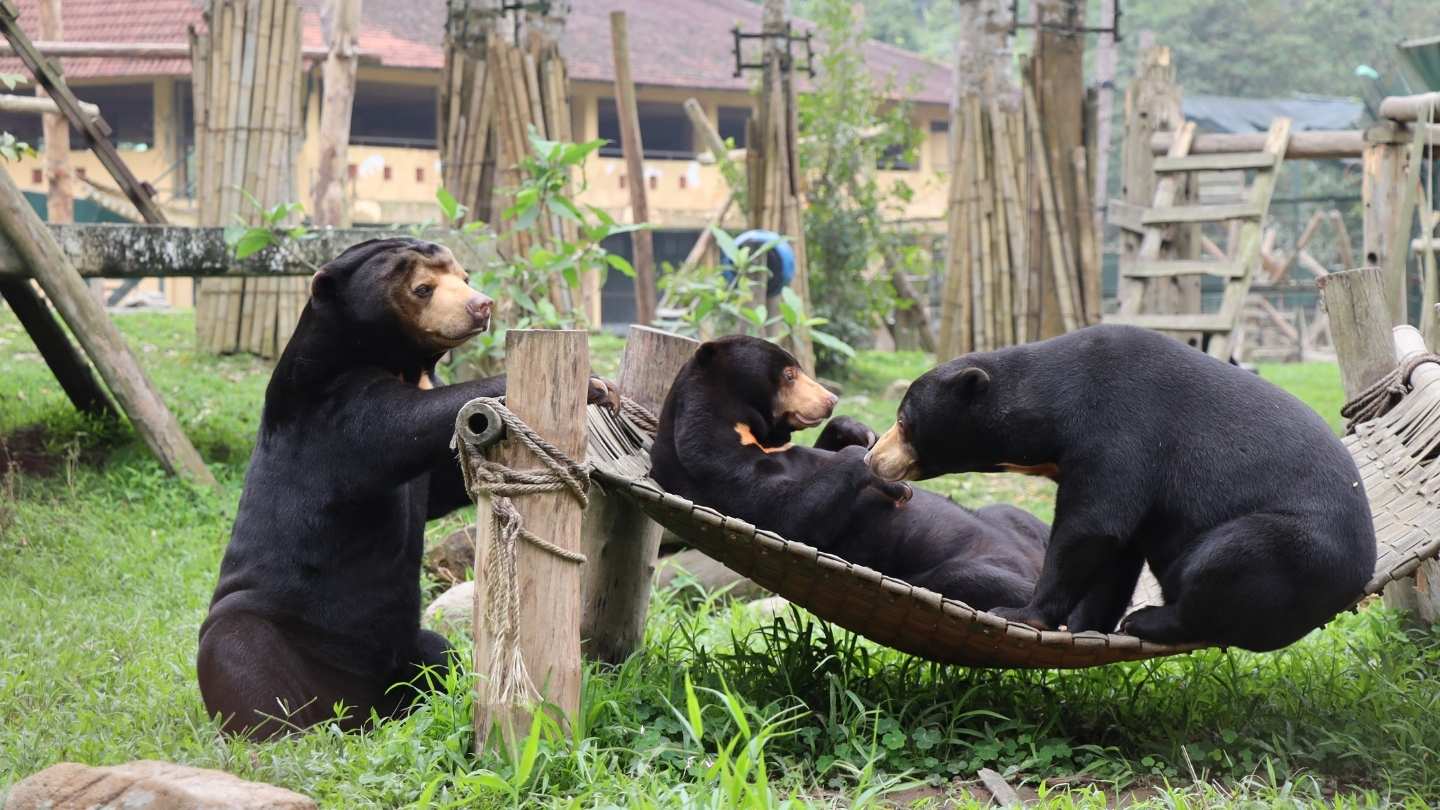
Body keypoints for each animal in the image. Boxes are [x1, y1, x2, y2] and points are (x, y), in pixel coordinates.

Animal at [197, 237, 615, 740]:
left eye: (465, 277)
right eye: (422, 288)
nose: (482, 306)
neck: (400, 363)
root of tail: (353, 708)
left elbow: (442, 486)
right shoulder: (326, 409)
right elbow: (404, 423)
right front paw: (594, 383)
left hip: (408, 650)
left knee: (440, 652)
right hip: (265, 626)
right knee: (240, 654)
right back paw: (281, 733)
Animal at [648, 335, 1049, 608]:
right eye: (790, 374)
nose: (831, 399)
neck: (746, 430)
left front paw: (857, 430)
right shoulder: (711, 468)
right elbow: (787, 513)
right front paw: (887, 480)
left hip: (1009, 518)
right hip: (955, 571)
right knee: (985, 583)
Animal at [865, 324, 1377, 652]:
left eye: (903, 421)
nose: (873, 457)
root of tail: (1356, 577)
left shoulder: (1121, 431)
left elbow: (1092, 526)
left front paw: (1019, 613)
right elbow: (1116, 548)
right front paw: (1082, 626)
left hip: (1293, 549)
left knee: (1224, 562)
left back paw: (1149, 619)